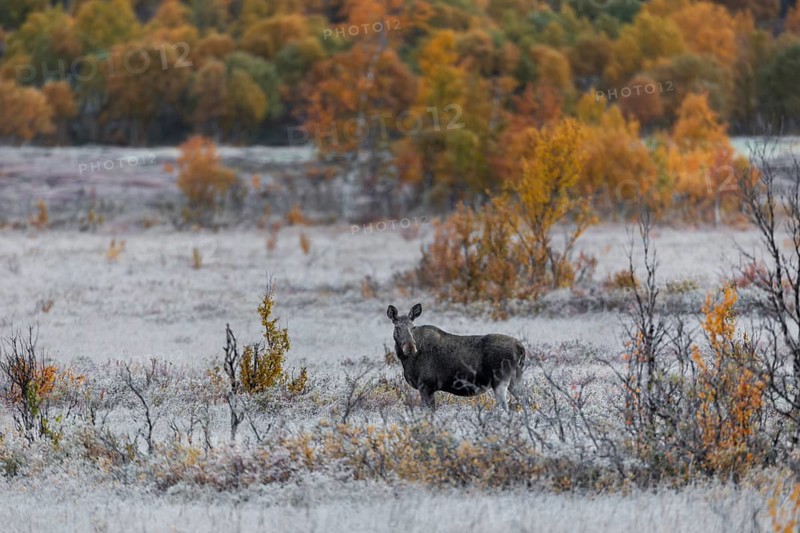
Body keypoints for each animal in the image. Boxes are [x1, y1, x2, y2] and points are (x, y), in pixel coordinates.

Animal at [386, 303, 526, 411]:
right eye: (397, 328)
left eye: (412, 327)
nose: (409, 347)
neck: (405, 360)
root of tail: (520, 347)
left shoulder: (426, 386)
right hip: (514, 380)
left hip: (500, 381)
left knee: (505, 406)